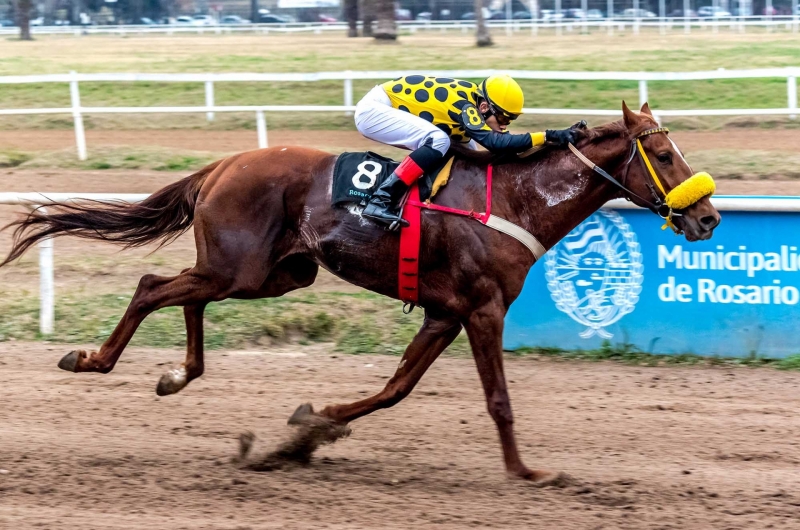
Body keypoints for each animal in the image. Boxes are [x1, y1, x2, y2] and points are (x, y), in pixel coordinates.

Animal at [3, 101, 720, 480]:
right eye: (662, 152)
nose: (709, 218)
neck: (517, 198)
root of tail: (225, 163)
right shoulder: (482, 309)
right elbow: (498, 401)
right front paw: (526, 472)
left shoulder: (444, 313)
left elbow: (394, 389)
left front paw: (312, 424)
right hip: (244, 267)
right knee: (155, 286)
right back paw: (94, 359)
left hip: (272, 273)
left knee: (186, 293)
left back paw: (178, 374)